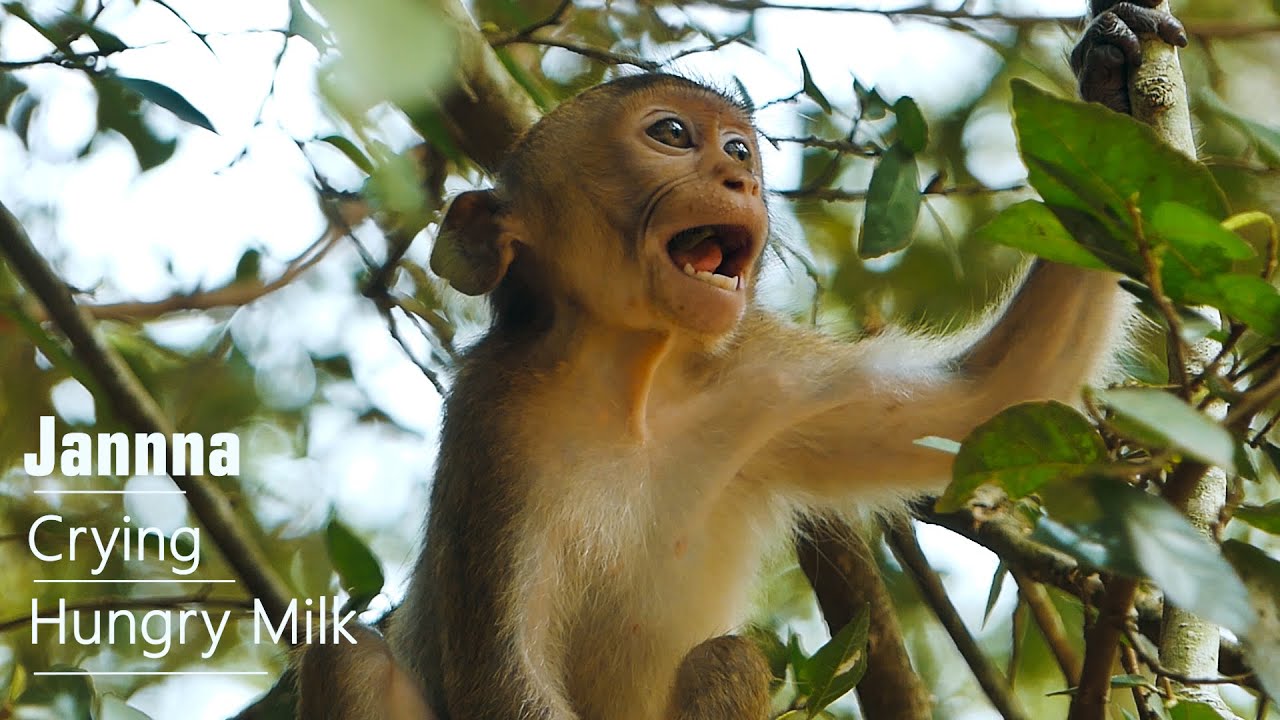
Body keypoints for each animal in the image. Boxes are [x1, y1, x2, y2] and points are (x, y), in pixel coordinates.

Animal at [296, 2, 1186, 718]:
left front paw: (1108, 81)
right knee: (348, 653)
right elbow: (498, 680)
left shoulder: (761, 380)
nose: (742, 178)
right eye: (672, 134)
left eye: (738, 149)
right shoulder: (493, 422)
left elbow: (993, 397)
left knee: (726, 659)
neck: (633, 383)